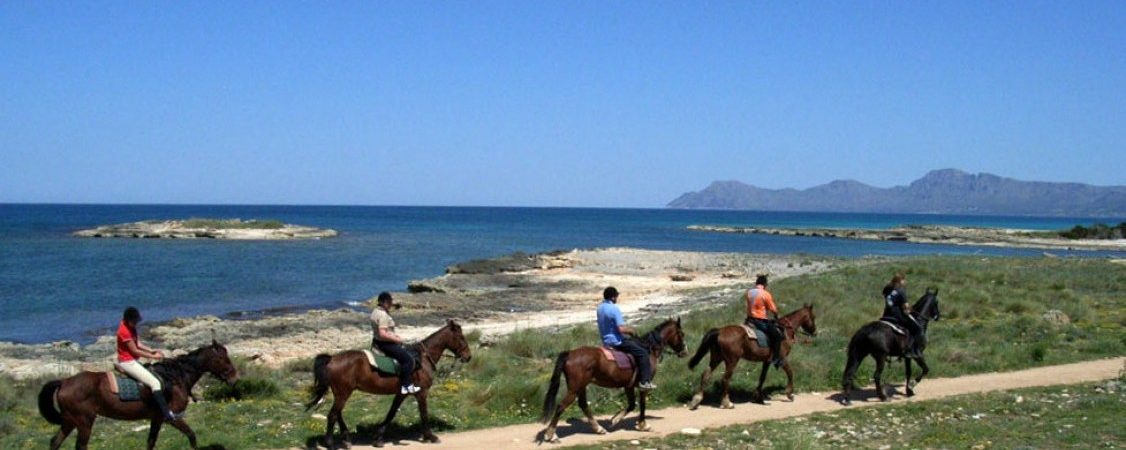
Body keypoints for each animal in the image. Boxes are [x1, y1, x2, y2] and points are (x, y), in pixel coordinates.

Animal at [36, 342, 237, 450]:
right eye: (223, 359)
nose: (235, 377)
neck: (175, 377)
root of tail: (64, 382)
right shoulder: (172, 417)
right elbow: (191, 435)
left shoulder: (156, 419)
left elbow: (150, 442)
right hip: (84, 421)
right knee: (80, 445)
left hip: (70, 420)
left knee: (55, 442)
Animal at [304, 317, 470, 447]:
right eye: (461, 338)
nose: (468, 357)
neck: (422, 359)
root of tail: (332, 359)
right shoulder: (422, 393)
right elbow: (424, 414)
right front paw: (430, 436)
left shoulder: (402, 393)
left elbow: (391, 413)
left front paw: (378, 438)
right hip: (343, 393)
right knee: (332, 415)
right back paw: (331, 443)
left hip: (341, 393)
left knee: (337, 414)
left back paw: (346, 440)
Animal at [535, 317, 684, 445]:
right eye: (681, 334)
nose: (684, 351)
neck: (648, 349)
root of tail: (570, 353)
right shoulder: (643, 385)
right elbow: (640, 404)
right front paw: (641, 424)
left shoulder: (628, 386)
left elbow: (632, 405)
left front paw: (615, 419)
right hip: (574, 388)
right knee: (561, 406)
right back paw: (551, 435)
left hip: (581, 386)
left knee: (583, 405)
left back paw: (599, 429)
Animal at [684, 303, 819, 409]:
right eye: (813, 317)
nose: (815, 332)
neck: (784, 331)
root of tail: (719, 331)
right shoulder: (782, 359)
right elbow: (790, 373)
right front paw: (789, 393)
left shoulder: (766, 361)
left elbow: (762, 377)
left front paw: (758, 397)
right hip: (731, 361)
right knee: (725, 379)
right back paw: (727, 403)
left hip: (716, 358)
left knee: (705, 375)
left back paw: (696, 400)